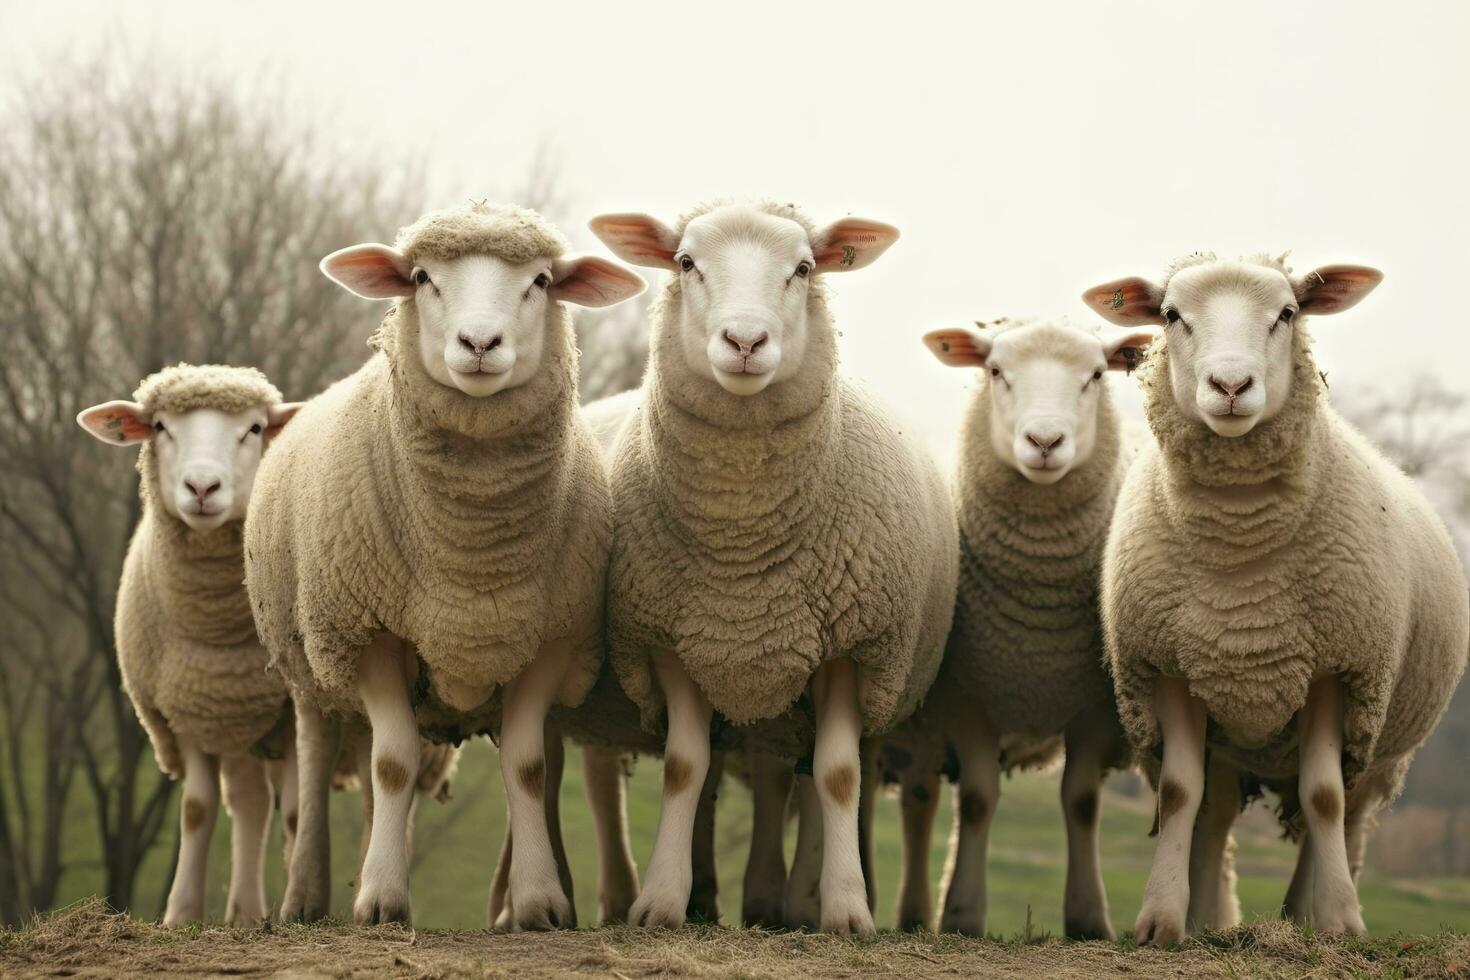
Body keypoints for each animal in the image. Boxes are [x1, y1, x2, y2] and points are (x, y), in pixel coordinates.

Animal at [78, 364, 304, 922]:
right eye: (160, 427)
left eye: (254, 428)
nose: (202, 486)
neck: (221, 637)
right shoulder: (187, 707)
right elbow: (198, 811)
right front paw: (180, 914)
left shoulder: (293, 711)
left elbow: (295, 811)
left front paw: (297, 905)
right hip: (237, 726)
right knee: (248, 801)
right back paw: (244, 913)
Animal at [244, 201, 646, 928]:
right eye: (422, 277)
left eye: (541, 281)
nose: (480, 343)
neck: (472, 546)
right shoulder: (371, 630)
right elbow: (395, 764)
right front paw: (381, 900)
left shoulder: (547, 637)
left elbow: (526, 767)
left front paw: (539, 903)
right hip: (311, 656)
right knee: (318, 762)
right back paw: (306, 895)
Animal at [590, 201, 958, 934]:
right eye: (685, 262)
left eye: (804, 269)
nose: (745, 340)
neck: (742, 550)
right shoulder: (676, 641)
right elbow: (684, 768)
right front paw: (661, 901)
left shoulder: (851, 645)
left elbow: (838, 776)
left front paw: (845, 910)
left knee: (816, 776)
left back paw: (801, 900)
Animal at [882, 318, 1158, 940]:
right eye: (995, 371)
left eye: (1096, 374)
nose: (1045, 442)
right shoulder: (968, 697)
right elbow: (977, 800)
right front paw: (962, 914)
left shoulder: (1094, 706)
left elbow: (1081, 802)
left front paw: (1088, 917)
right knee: (919, 800)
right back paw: (914, 914)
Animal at [1081, 252, 1470, 940]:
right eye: (1171, 315)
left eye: (1287, 313)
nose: (1231, 385)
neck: (1241, 556)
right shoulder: (1169, 667)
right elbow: (1180, 794)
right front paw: (1160, 920)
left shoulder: (1337, 669)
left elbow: (1322, 797)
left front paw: (1340, 921)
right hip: (1231, 726)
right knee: (1214, 810)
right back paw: (1210, 920)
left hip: (1377, 743)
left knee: (1346, 813)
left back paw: (1308, 916)